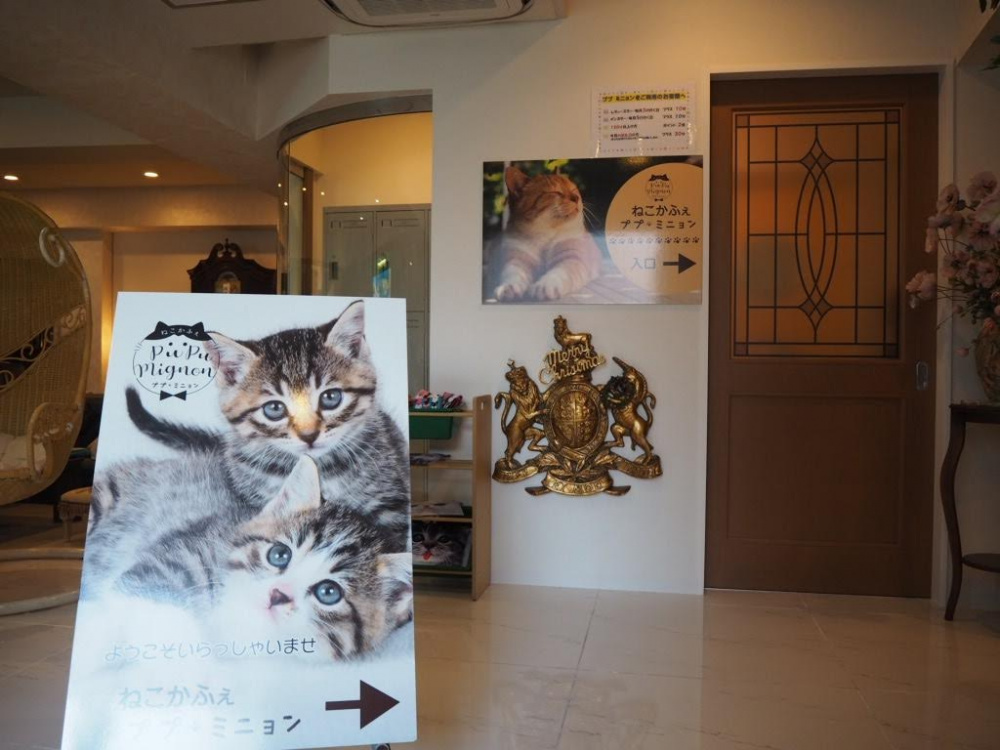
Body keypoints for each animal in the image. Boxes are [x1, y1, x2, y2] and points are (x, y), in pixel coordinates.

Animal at [486, 166, 602, 302]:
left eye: (574, 190)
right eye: (556, 192)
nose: (576, 198)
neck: (546, 237)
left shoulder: (571, 258)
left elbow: (557, 274)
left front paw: (544, 287)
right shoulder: (516, 260)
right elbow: (513, 274)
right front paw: (508, 287)